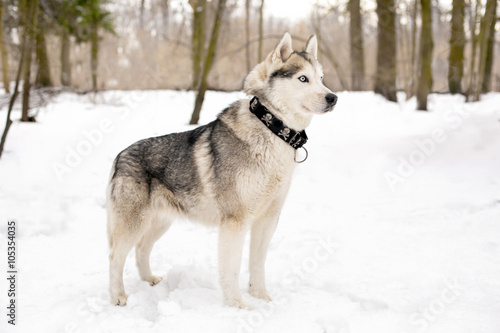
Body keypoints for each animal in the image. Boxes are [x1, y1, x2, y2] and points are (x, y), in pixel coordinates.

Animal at [107, 32, 338, 308]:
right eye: (303, 78)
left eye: (321, 78)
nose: (333, 98)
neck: (271, 130)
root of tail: (120, 155)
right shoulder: (235, 222)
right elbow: (232, 268)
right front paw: (236, 305)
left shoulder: (267, 220)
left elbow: (257, 264)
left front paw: (262, 297)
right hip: (133, 224)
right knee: (115, 257)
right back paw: (118, 296)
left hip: (160, 223)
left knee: (141, 249)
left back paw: (149, 280)